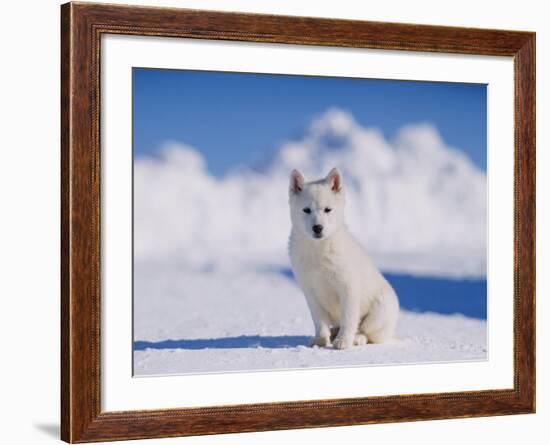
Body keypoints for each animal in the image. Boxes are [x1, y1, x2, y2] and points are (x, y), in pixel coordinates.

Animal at [288, 168, 402, 348]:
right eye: (306, 210)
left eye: (328, 209)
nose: (317, 228)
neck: (319, 249)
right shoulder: (310, 291)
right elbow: (319, 320)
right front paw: (321, 340)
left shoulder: (348, 287)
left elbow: (349, 318)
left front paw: (343, 341)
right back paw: (333, 332)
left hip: (379, 312)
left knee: (367, 332)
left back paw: (356, 338)